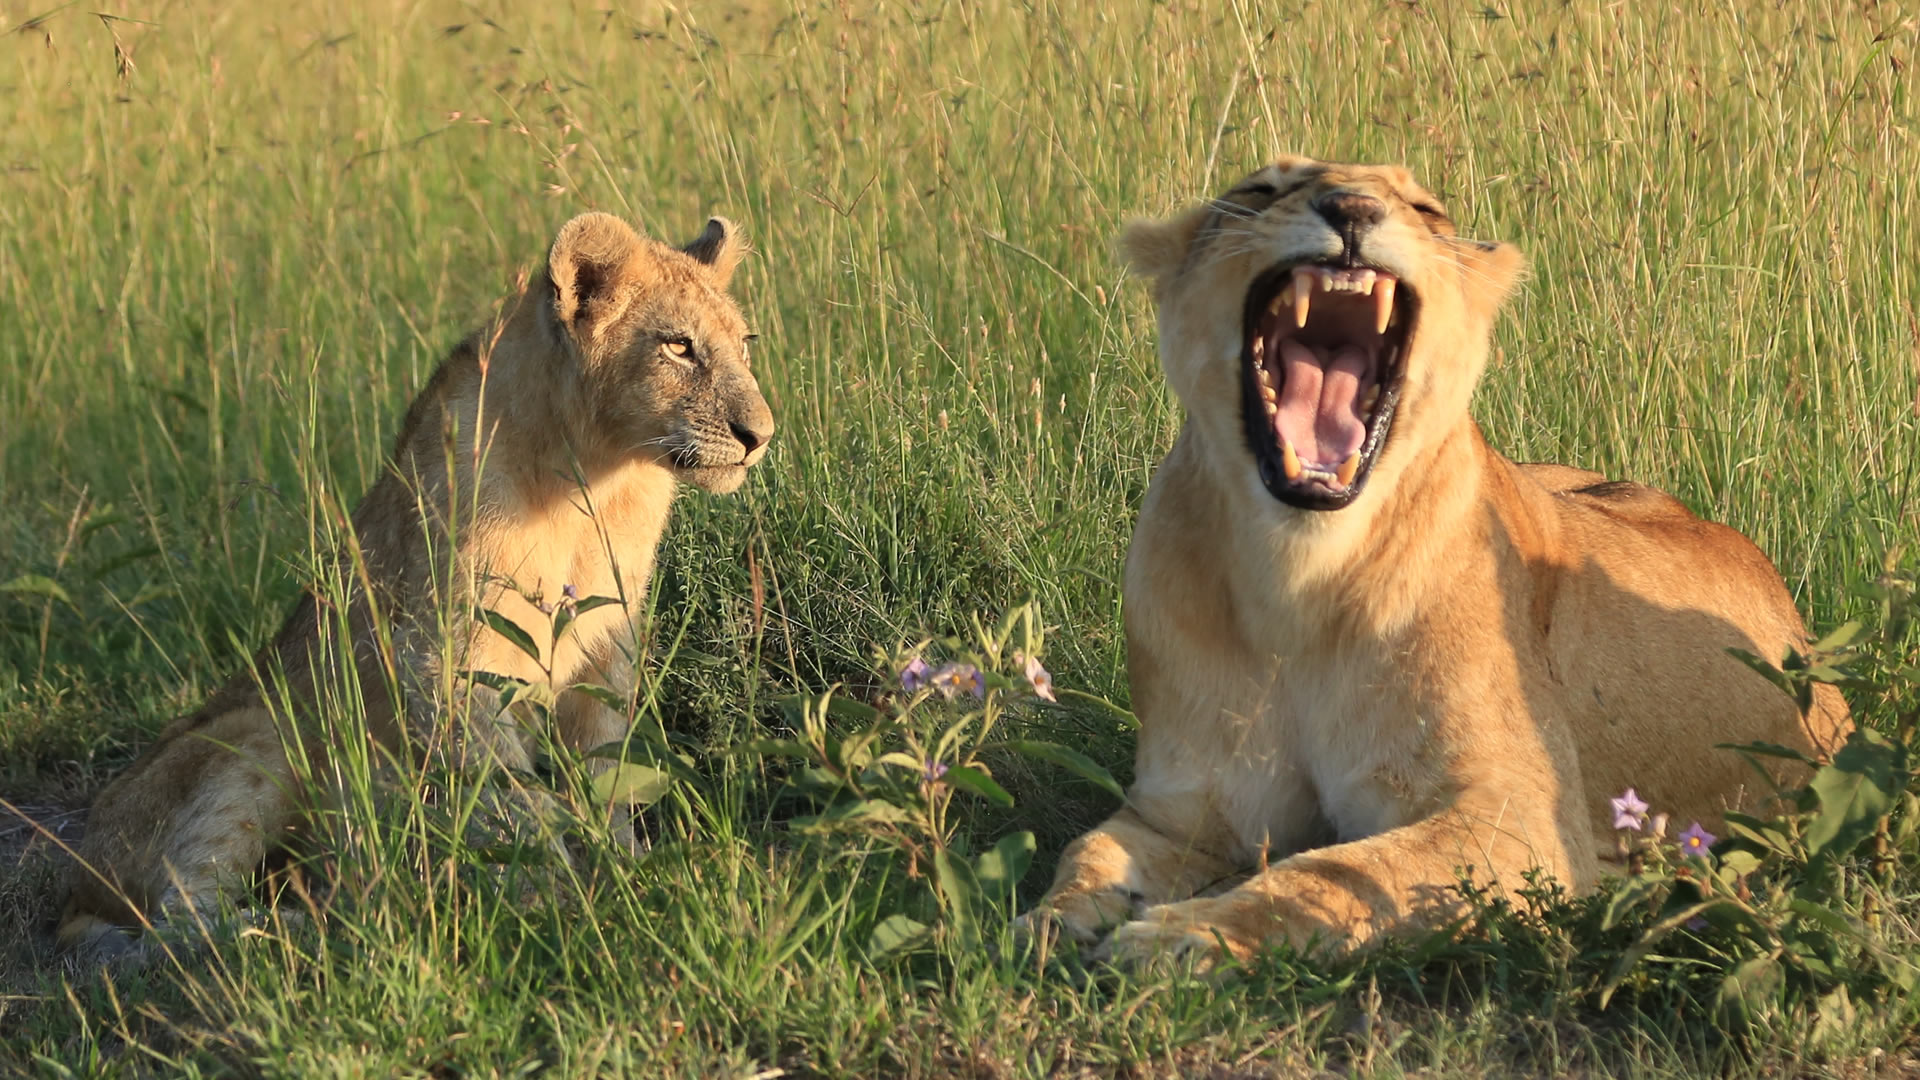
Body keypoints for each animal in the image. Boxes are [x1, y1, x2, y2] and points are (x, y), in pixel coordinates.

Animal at [60, 211, 774, 951]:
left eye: (744, 345)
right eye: (679, 348)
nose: (761, 435)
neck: (601, 479)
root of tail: (78, 880)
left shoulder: (606, 648)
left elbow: (605, 773)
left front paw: (628, 869)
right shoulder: (440, 657)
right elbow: (512, 798)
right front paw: (558, 901)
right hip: (259, 730)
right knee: (182, 915)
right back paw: (328, 921)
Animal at [1021, 157, 1851, 967]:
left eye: (1426, 211)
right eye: (1258, 191)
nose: (1352, 208)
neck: (1297, 573)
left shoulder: (1524, 822)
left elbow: (1332, 873)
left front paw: (1180, 936)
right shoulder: (1182, 808)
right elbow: (1088, 853)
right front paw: (1048, 924)